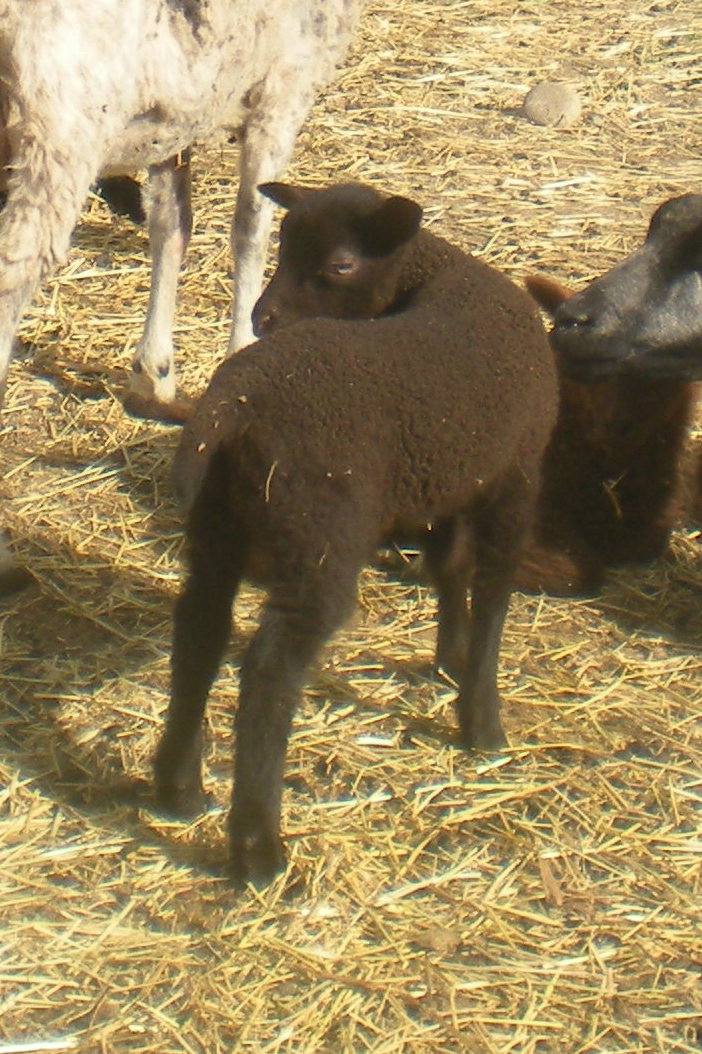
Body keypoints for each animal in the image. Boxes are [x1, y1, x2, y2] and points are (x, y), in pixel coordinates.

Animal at [0, 0, 363, 592]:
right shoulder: (281, 88)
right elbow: (254, 227)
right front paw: (243, 353)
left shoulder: (173, 119)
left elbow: (172, 225)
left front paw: (155, 374)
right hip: (58, 136)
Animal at [153, 181, 558, 885]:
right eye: (285, 245)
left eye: (340, 264)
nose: (263, 318)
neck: (435, 275)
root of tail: (235, 400)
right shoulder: (517, 477)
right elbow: (493, 595)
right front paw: (482, 722)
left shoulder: (447, 476)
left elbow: (451, 569)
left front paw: (450, 661)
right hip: (319, 536)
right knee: (269, 669)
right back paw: (259, 848)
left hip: (221, 524)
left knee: (200, 631)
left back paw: (180, 789)